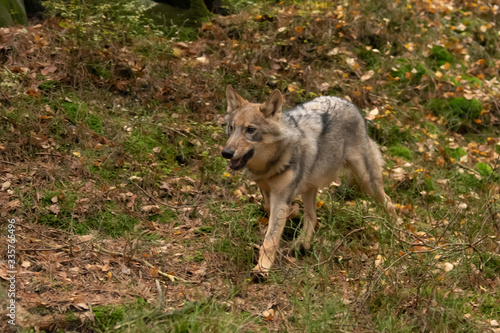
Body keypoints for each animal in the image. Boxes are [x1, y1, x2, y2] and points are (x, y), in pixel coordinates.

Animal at [222, 85, 394, 274]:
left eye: (250, 130)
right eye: (231, 128)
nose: (226, 153)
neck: (269, 164)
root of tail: (349, 103)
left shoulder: (281, 197)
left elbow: (270, 239)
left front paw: (261, 269)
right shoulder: (266, 189)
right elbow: (268, 208)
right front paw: (293, 211)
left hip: (368, 183)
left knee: (390, 203)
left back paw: (396, 231)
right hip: (310, 187)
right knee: (312, 217)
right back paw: (301, 243)